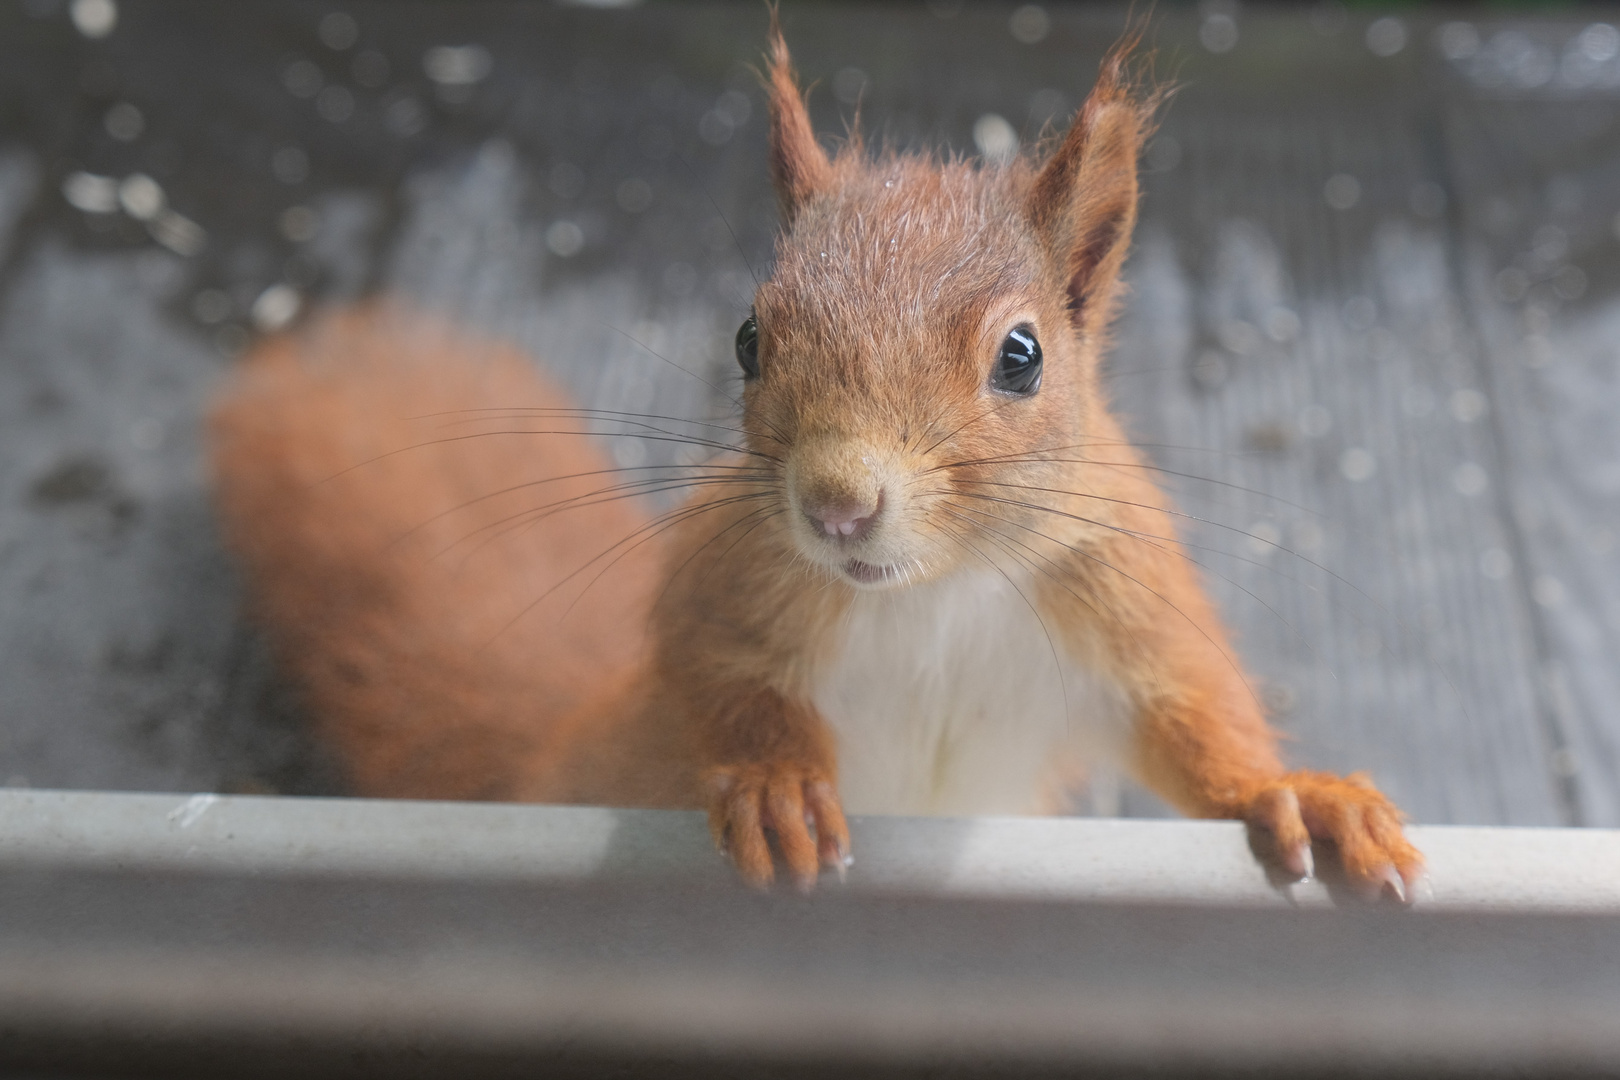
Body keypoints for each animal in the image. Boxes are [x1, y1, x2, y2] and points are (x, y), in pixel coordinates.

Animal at [208, 27, 1425, 906]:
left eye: (1022, 356)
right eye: (749, 337)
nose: (838, 504)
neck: (935, 594)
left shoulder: (1116, 594)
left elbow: (1192, 718)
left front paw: (1301, 797)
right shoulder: (727, 581)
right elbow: (718, 677)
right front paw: (777, 786)